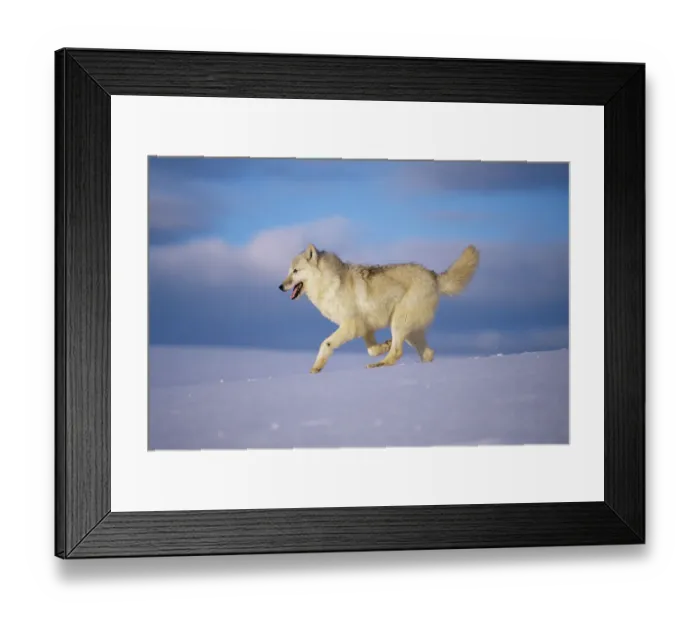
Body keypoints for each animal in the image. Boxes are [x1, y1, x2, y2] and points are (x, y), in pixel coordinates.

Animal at [279, 244, 480, 374]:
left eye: (295, 271)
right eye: (289, 271)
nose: (280, 287)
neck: (330, 282)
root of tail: (433, 275)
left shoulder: (351, 326)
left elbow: (326, 344)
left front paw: (316, 368)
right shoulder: (365, 328)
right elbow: (371, 350)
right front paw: (384, 345)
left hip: (399, 322)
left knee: (398, 353)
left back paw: (377, 366)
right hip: (409, 331)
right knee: (427, 353)